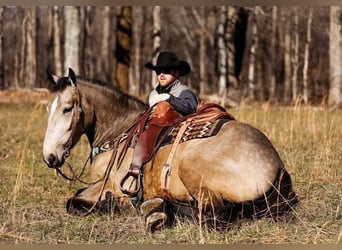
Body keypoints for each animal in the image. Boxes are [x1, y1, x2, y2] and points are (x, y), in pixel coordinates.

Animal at [42, 68, 300, 230]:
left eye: (67, 108)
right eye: (48, 108)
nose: (50, 157)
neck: (120, 132)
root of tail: (276, 166)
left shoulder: (109, 185)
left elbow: (74, 202)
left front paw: (111, 204)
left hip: (192, 171)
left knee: (213, 214)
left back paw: (159, 210)